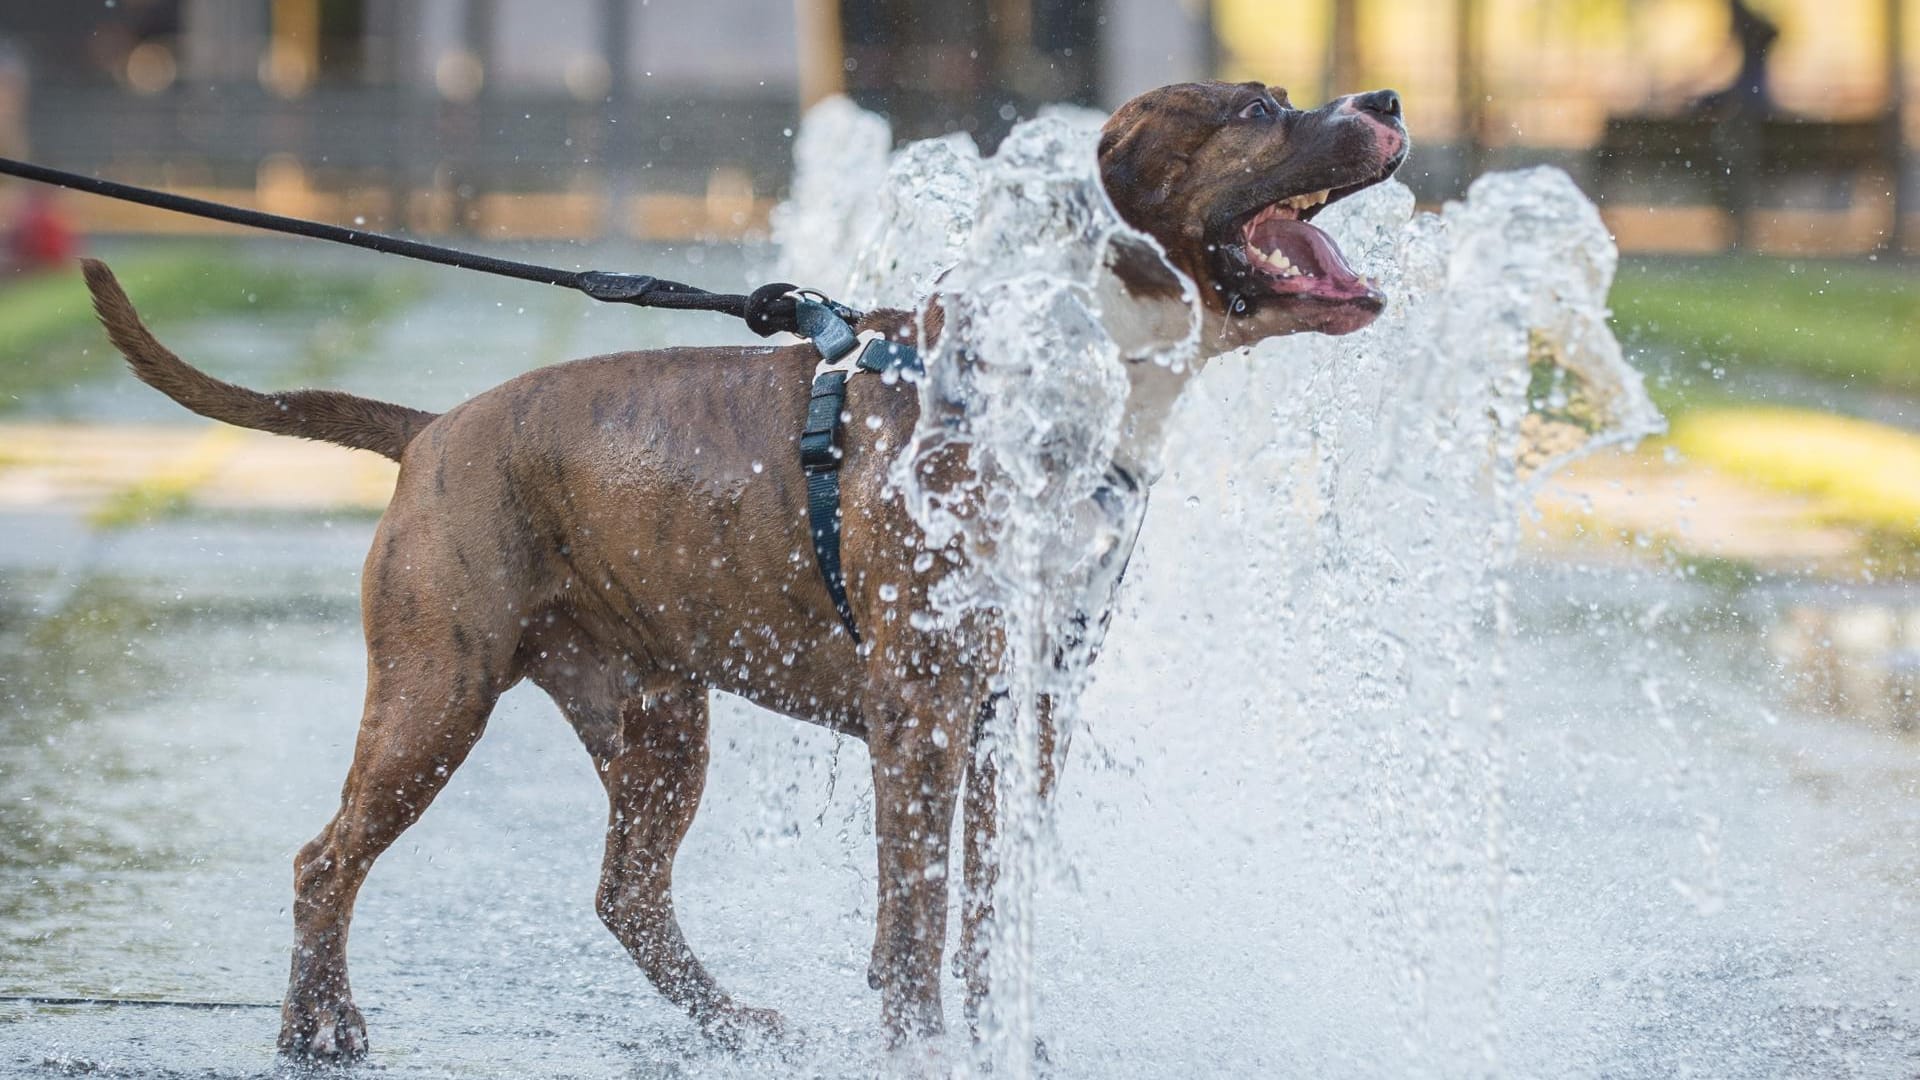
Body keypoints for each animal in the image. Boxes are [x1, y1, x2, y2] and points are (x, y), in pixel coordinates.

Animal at [82, 79, 1405, 1053]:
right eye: (1257, 108)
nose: (1384, 95)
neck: (1057, 379)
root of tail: (432, 428)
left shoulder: (1022, 716)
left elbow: (989, 910)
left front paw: (1004, 1038)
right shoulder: (921, 710)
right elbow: (915, 915)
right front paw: (923, 1045)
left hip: (655, 719)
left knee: (627, 894)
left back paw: (738, 1026)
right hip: (435, 692)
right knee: (329, 857)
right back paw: (320, 1024)